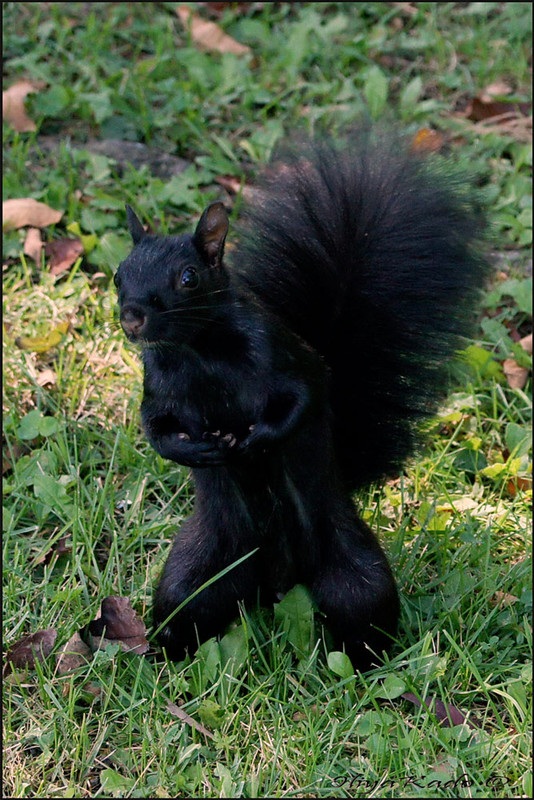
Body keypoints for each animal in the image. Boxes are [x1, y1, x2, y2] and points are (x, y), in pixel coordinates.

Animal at [114, 130, 490, 668]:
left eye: (189, 277)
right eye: (118, 274)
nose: (132, 317)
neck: (200, 351)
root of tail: (275, 583)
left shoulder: (285, 359)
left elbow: (302, 400)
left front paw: (255, 439)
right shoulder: (158, 388)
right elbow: (156, 428)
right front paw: (197, 449)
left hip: (352, 577)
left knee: (364, 613)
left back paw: (367, 665)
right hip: (197, 575)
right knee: (186, 609)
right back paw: (159, 658)